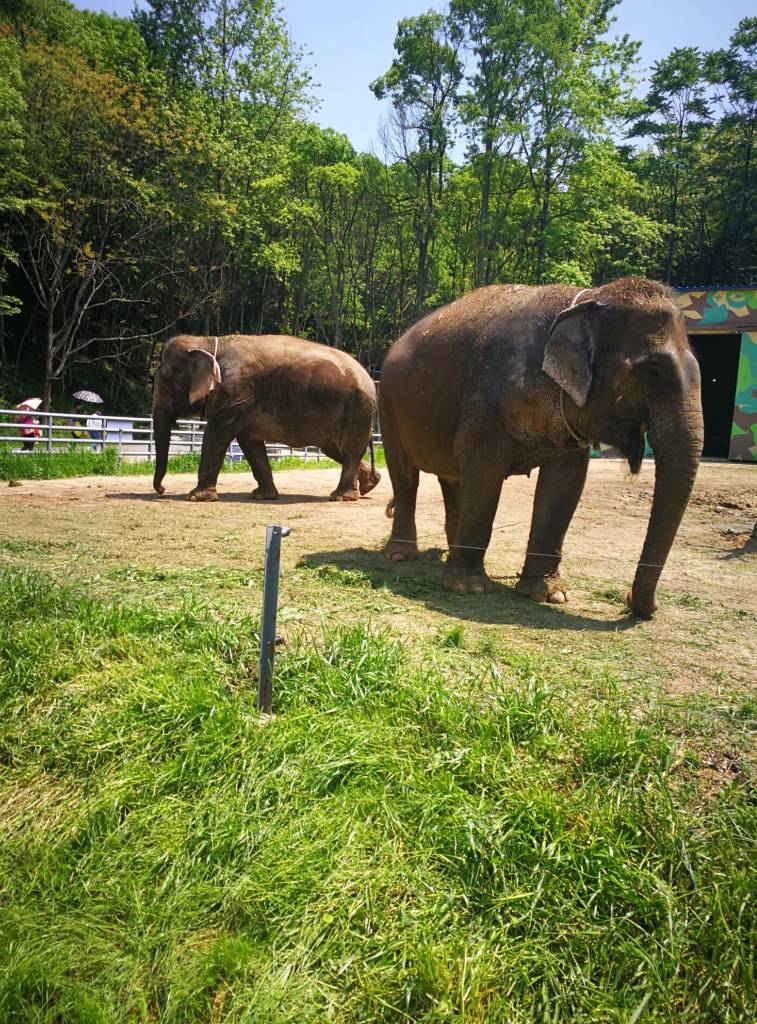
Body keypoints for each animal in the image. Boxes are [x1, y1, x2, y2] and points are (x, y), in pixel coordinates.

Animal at [151, 333, 381, 501]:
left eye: (165, 380)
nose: (162, 490)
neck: (208, 341)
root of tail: (370, 378)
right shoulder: (242, 401)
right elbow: (249, 443)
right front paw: (262, 496)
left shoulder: (234, 391)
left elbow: (217, 435)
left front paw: (195, 497)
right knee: (335, 448)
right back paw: (369, 485)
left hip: (358, 408)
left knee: (350, 449)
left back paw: (341, 497)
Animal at [381, 276, 708, 614]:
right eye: (653, 371)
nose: (633, 602)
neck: (587, 300)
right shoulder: (484, 406)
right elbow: (483, 475)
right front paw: (467, 588)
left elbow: (563, 486)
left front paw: (550, 594)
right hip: (389, 405)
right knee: (405, 477)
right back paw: (401, 555)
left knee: (452, 479)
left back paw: (448, 551)